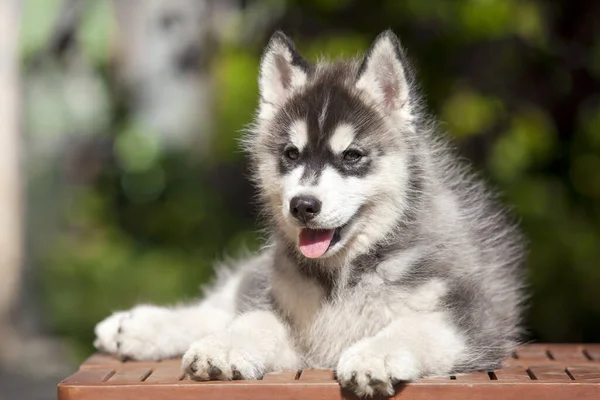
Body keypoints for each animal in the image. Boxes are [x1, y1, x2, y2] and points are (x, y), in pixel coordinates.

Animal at [95, 31, 524, 396]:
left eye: (351, 155)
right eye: (291, 154)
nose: (302, 205)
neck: (346, 271)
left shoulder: (474, 320)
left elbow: (413, 329)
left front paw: (374, 356)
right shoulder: (293, 320)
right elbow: (252, 320)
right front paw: (225, 347)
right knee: (220, 306)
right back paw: (132, 327)